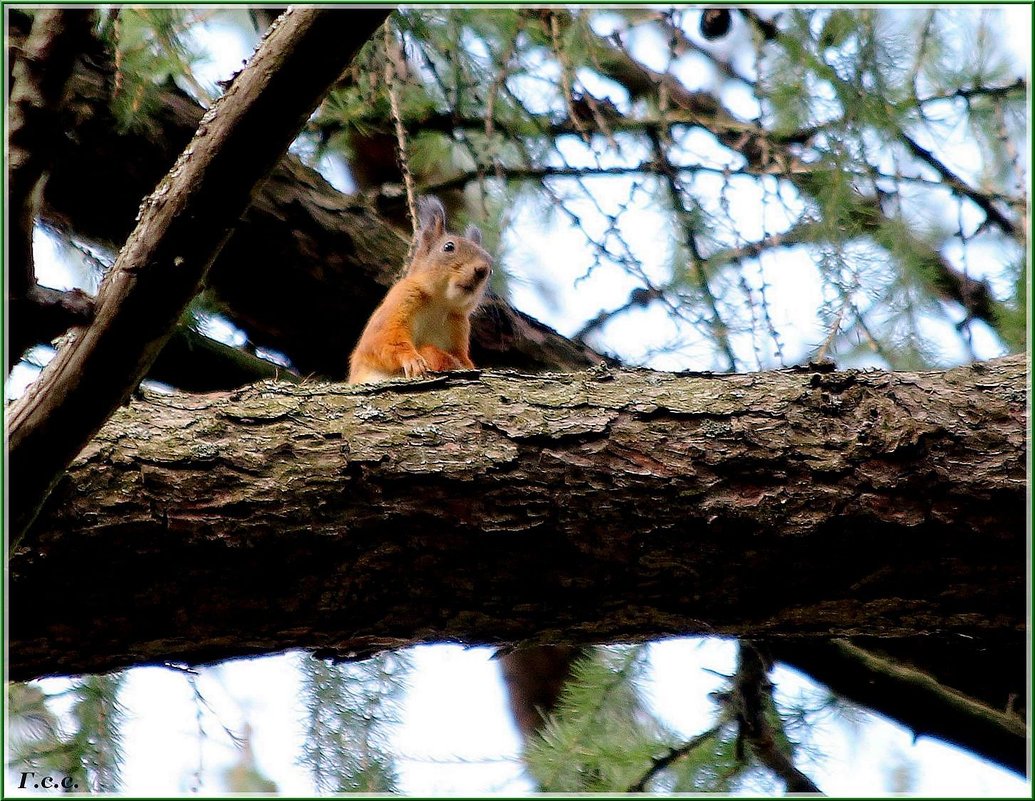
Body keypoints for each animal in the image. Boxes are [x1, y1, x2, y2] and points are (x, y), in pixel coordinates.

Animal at [349, 200, 490, 389]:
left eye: (490, 266)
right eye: (449, 247)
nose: (483, 270)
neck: (439, 304)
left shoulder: (459, 326)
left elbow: (462, 358)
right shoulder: (400, 300)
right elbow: (381, 340)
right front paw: (412, 359)